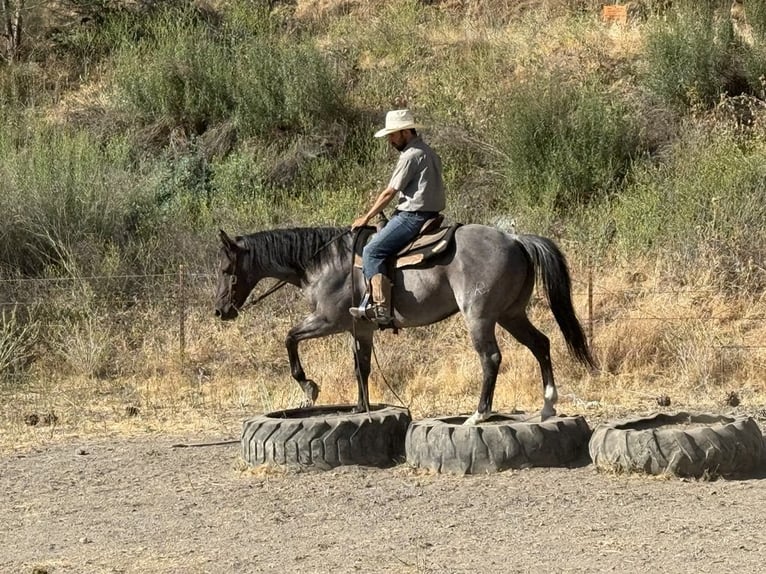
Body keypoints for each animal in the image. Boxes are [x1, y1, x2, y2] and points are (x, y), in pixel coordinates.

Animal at [214, 224, 595, 424]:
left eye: (226, 268)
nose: (220, 311)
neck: (324, 264)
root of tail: (515, 239)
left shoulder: (327, 321)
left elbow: (290, 338)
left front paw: (309, 387)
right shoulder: (360, 329)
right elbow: (361, 367)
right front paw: (361, 408)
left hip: (481, 317)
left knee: (491, 358)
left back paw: (479, 414)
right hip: (511, 314)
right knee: (541, 344)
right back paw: (547, 405)